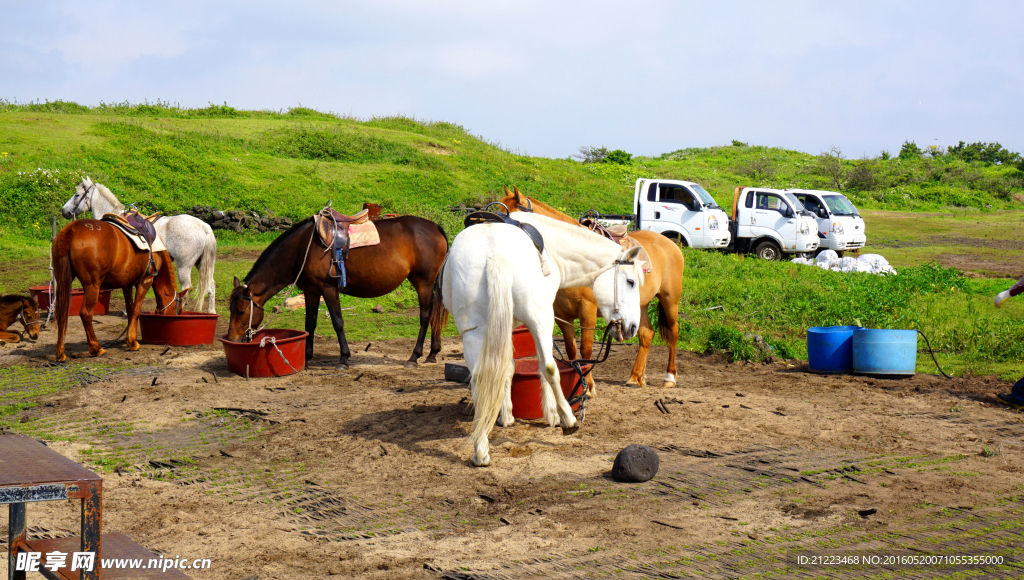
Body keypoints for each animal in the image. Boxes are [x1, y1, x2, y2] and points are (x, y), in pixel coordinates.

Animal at [60, 176, 219, 313]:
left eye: (77, 195)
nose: (63, 210)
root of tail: (204, 226)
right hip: (200, 263)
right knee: (210, 285)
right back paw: (211, 311)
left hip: (184, 266)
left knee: (186, 288)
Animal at [226, 216, 450, 370]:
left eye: (242, 311)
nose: (233, 339)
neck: (303, 248)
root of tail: (435, 227)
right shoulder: (311, 291)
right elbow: (310, 324)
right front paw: (307, 357)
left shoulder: (328, 289)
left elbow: (338, 323)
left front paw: (343, 358)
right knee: (434, 314)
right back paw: (432, 353)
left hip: (423, 283)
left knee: (425, 316)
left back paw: (414, 357)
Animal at [444, 210, 643, 469]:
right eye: (630, 282)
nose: (632, 327)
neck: (553, 249)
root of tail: (494, 255)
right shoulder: (542, 321)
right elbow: (544, 367)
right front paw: (554, 414)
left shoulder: (506, 325)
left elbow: (507, 368)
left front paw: (506, 415)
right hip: (540, 319)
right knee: (549, 367)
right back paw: (568, 419)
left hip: (473, 332)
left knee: (479, 378)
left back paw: (481, 450)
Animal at [499, 187, 684, 395]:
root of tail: (670, 243)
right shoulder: (562, 315)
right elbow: (571, 351)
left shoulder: (587, 310)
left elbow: (586, 350)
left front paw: (588, 386)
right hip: (640, 305)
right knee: (646, 335)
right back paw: (636, 377)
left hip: (670, 300)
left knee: (673, 332)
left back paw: (669, 377)